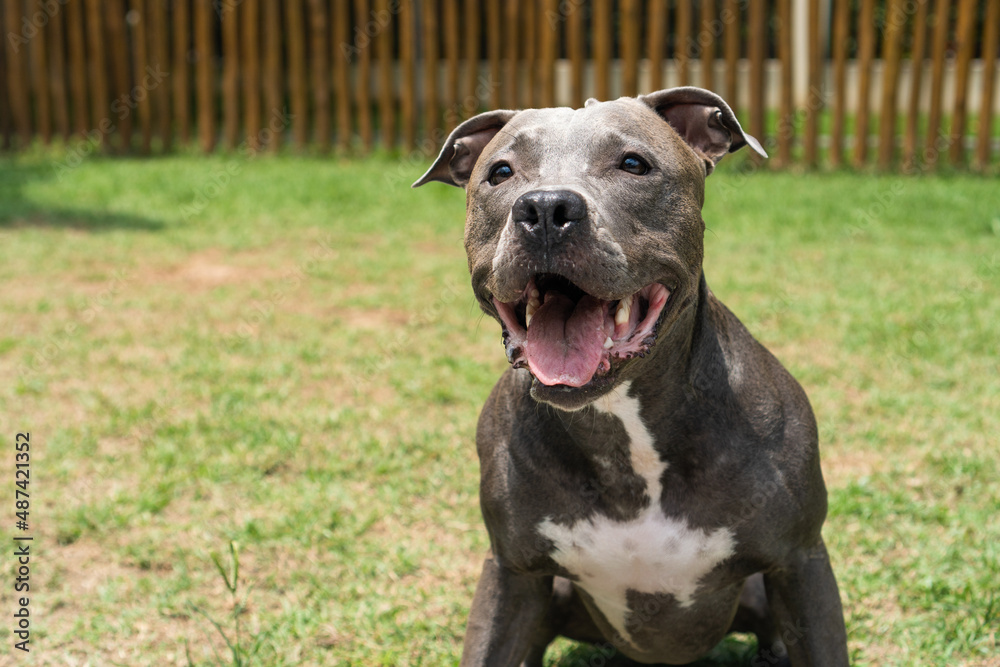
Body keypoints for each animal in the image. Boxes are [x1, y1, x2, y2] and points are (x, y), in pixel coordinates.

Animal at [412, 88, 844, 667]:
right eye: (500, 172)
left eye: (634, 164)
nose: (545, 208)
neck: (620, 426)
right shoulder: (512, 573)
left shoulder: (800, 561)